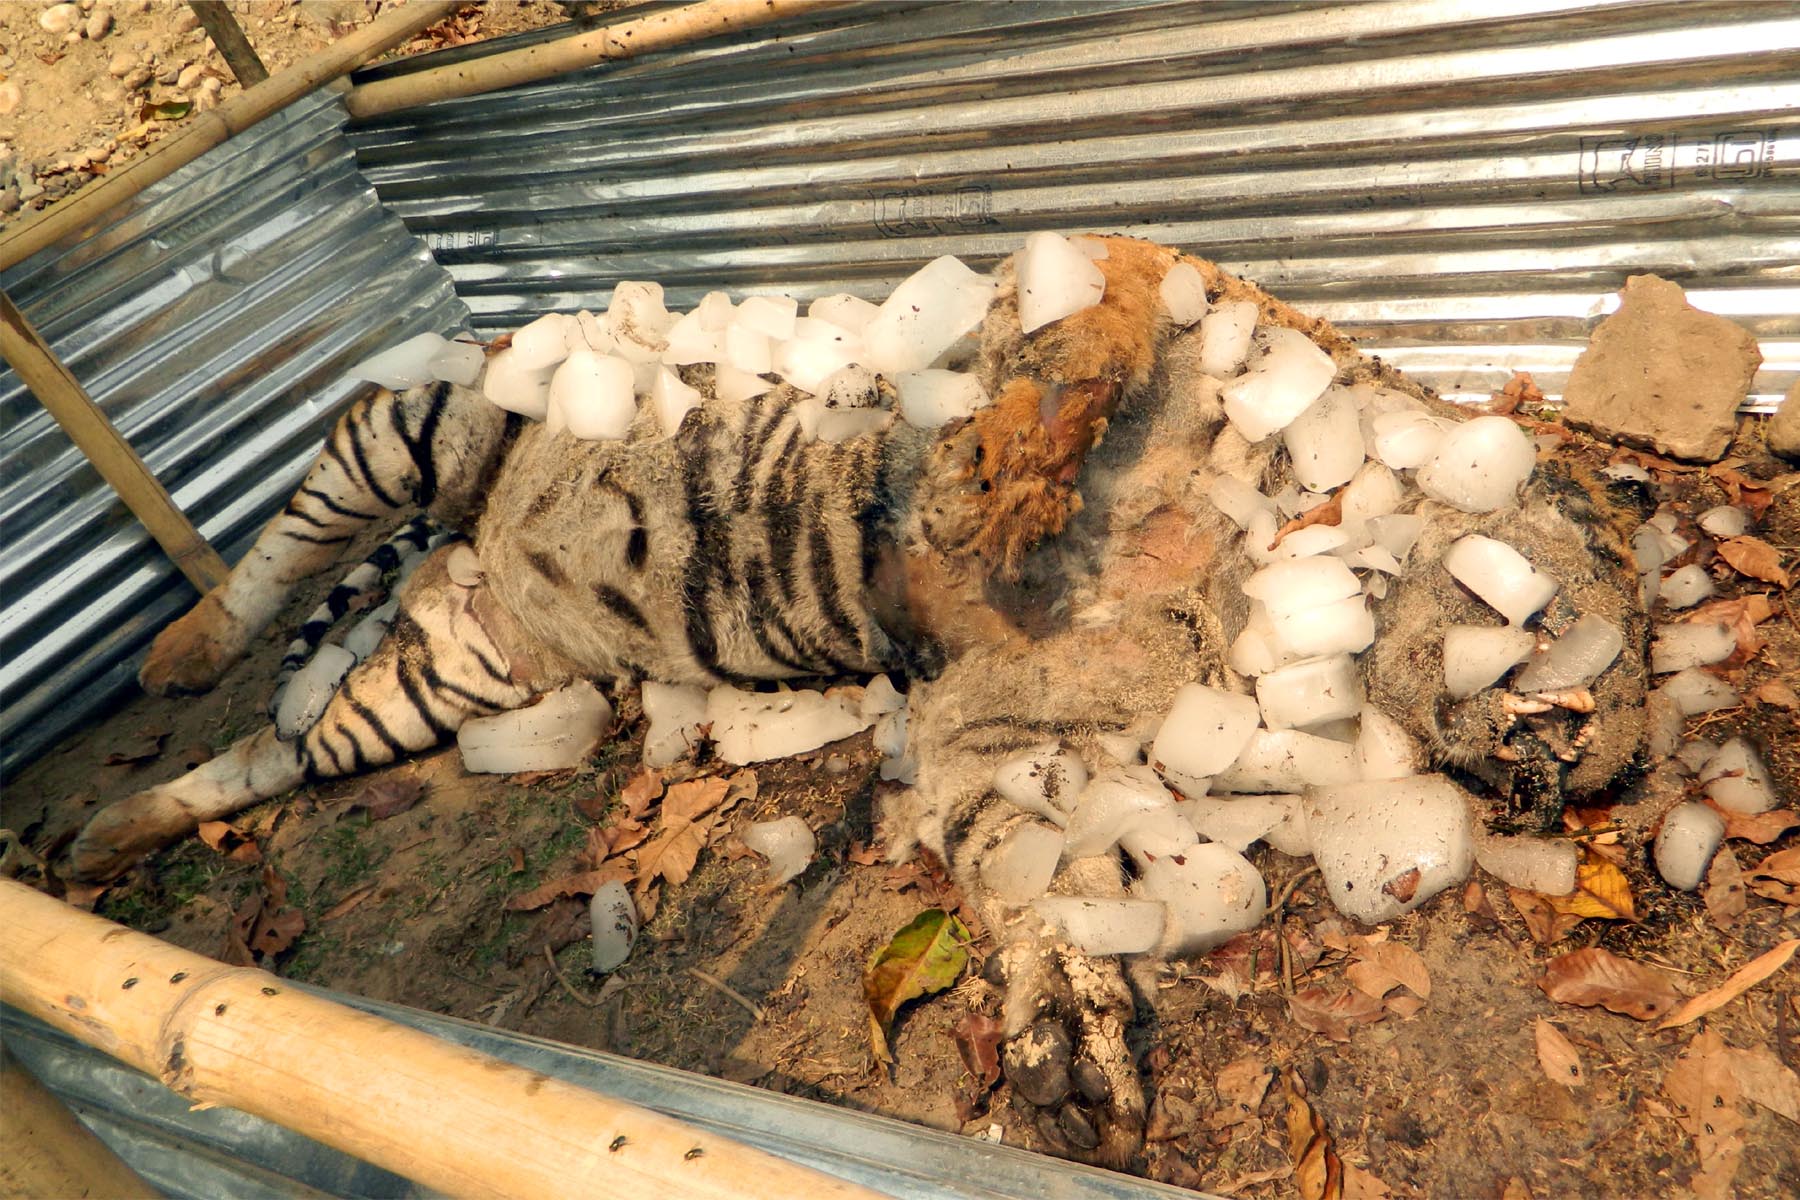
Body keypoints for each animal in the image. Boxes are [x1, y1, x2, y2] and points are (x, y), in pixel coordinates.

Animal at [67, 236, 1648, 1168]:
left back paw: (106, 835)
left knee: (277, 755)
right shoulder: (1144, 293)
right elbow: (1083, 336)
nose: (1610, 771)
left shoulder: (1010, 724)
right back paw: (178, 653)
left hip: (451, 680)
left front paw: (1072, 1030)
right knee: (294, 535)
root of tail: (478, 554)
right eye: (1624, 641)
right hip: (424, 428)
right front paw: (995, 484)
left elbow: (1034, 868)